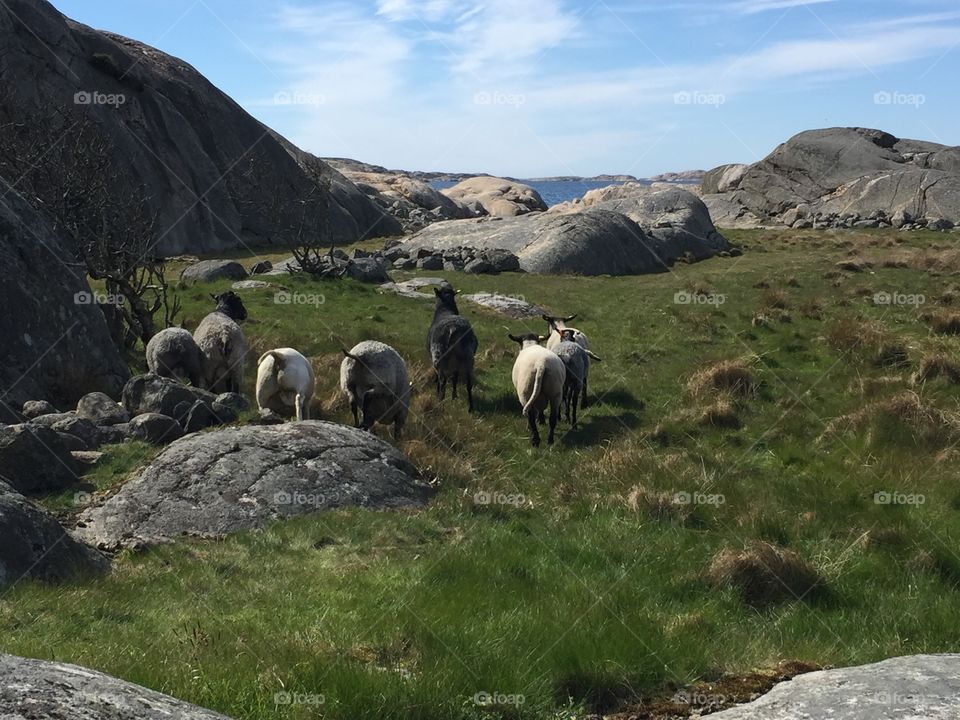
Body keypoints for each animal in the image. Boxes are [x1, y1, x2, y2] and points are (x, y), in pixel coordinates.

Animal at [426, 284, 478, 414]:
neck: (445, 309)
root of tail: (453, 328)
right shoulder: (456, 364)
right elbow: (455, 377)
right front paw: (454, 396)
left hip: (438, 355)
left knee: (442, 380)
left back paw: (440, 401)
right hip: (468, 356)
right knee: (468, 383)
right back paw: (470, 408)